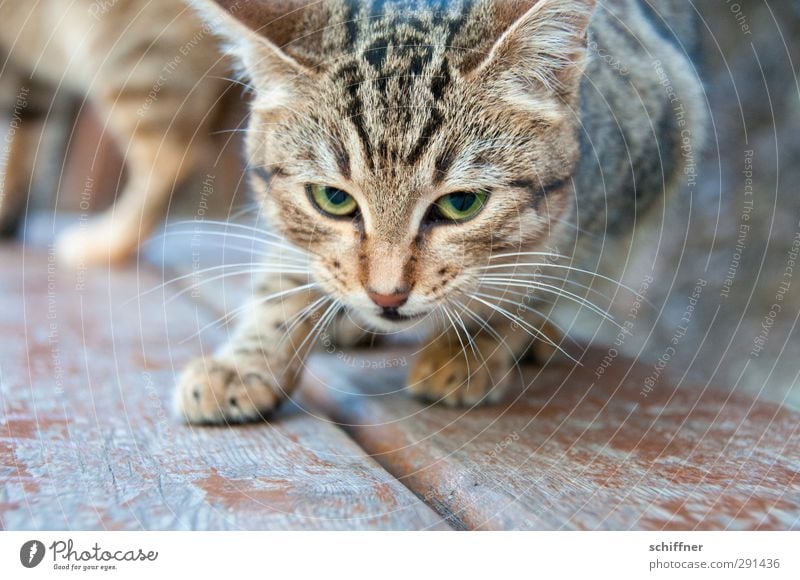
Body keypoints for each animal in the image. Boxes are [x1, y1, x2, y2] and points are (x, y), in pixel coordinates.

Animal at [177, 0, 708, 424]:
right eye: (333, 199)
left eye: (461, 204)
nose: (386, 295)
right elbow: (282, 277)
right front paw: (245, 361)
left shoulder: (634, 173)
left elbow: (537, 274)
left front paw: (469, 345)